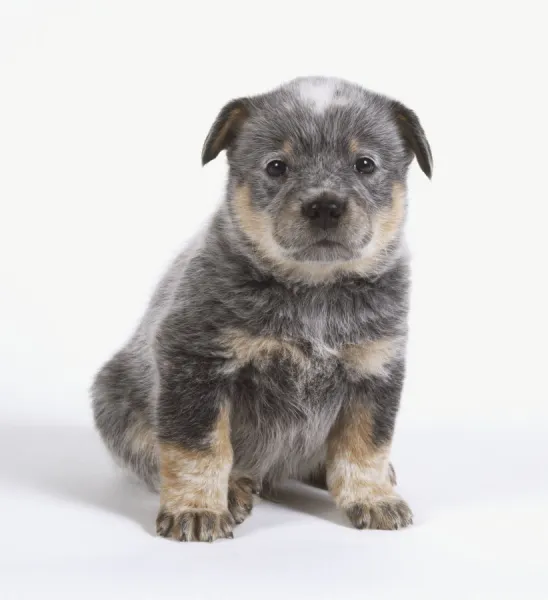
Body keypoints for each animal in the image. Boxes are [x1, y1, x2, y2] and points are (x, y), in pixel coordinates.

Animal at [91, 77, 432, 540]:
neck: (313, 293)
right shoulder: (196, 362)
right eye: (276, 166)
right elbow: (198, 448)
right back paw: (235, 487)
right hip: (113, 399)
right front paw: (196, 507)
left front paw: (373, 496)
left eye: (364, 163)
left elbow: (365, 447)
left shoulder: (375, 369)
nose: (324, 205)